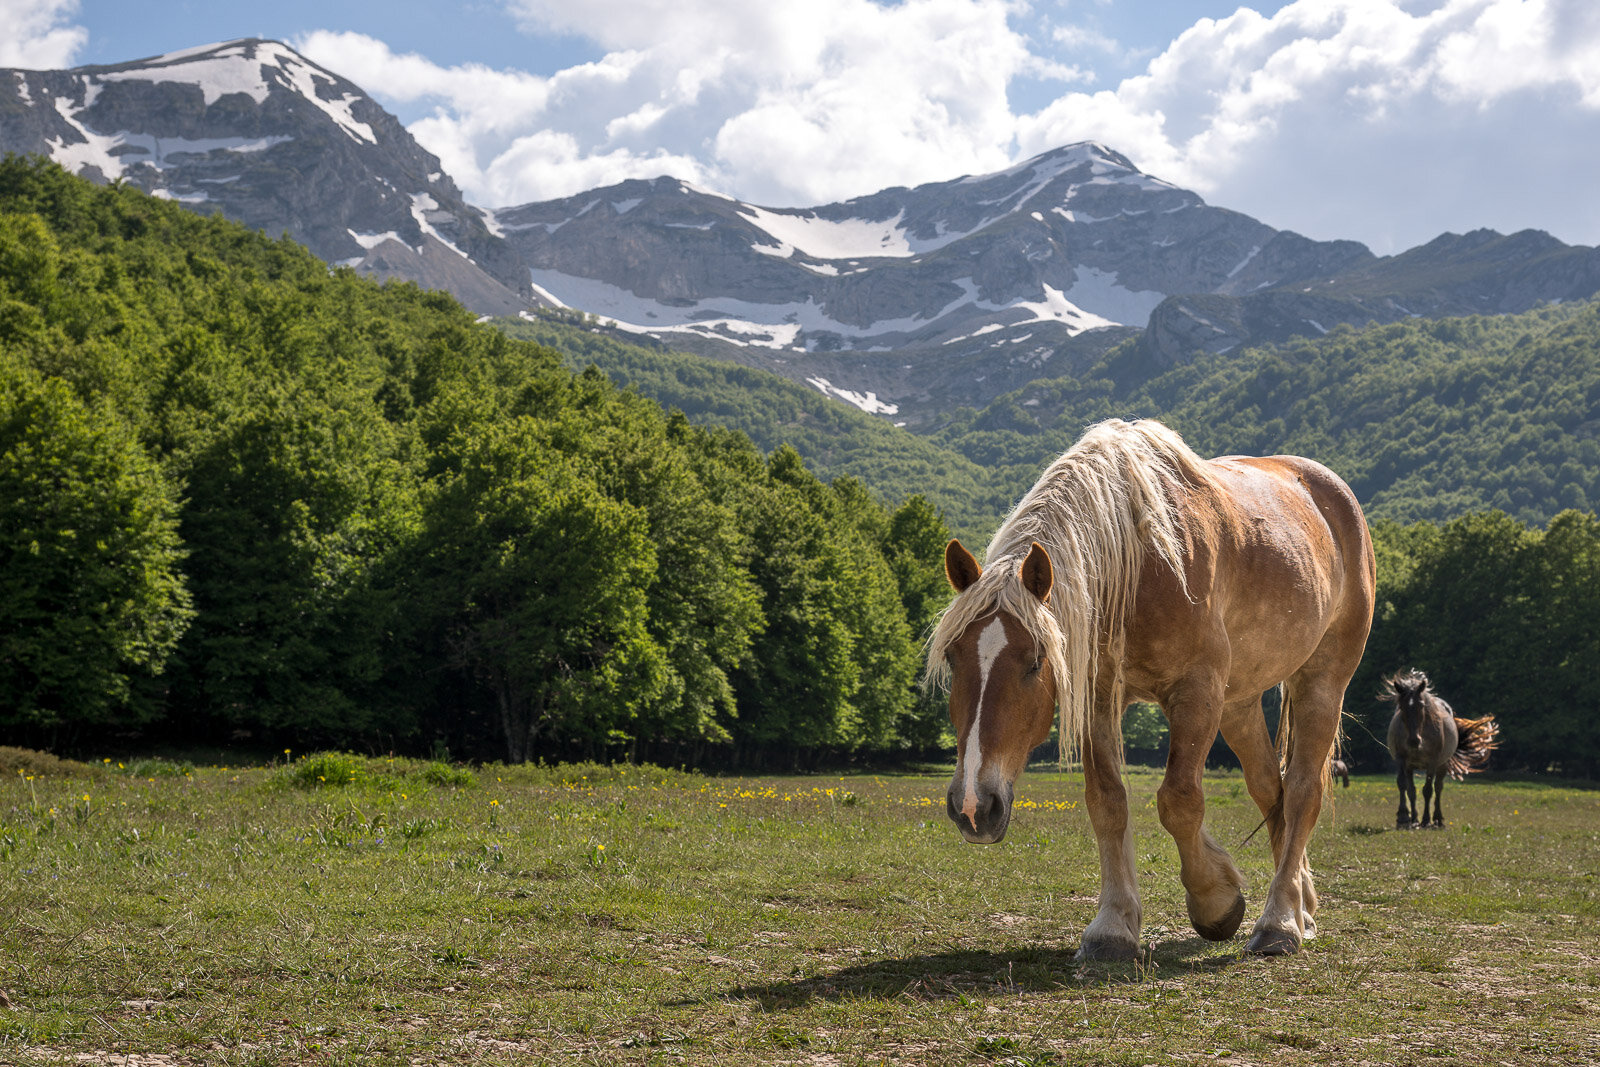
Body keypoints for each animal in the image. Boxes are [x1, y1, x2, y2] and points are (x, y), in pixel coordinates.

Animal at [926, 419, 1375, 958]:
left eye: (1035, 661)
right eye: (953, 658)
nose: (973, 807)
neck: (1139, 563)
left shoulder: (1197, 691)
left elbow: (1178, 801)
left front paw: (1216, 900)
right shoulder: (1100, 697)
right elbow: (1107, 803)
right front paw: (1113, 927)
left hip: (1322, 681)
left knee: (1304, 791)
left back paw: (1279, 923)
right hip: (1240, 704)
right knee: (1273, 792)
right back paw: (1301, 906)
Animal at [1381, 670, 1499, 829]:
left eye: (1421, 705)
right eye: (1401, 706)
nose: (1413, 741)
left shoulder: (1432, 762)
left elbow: (1428, 790)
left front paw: (1425, 820)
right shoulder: (1402, 760)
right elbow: (1403, 785)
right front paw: (1404, 818)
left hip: (1442, 765)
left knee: (1438, 788)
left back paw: (1437, 819)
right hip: (1410, 767)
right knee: (1412, 790)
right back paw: (1414, 819)